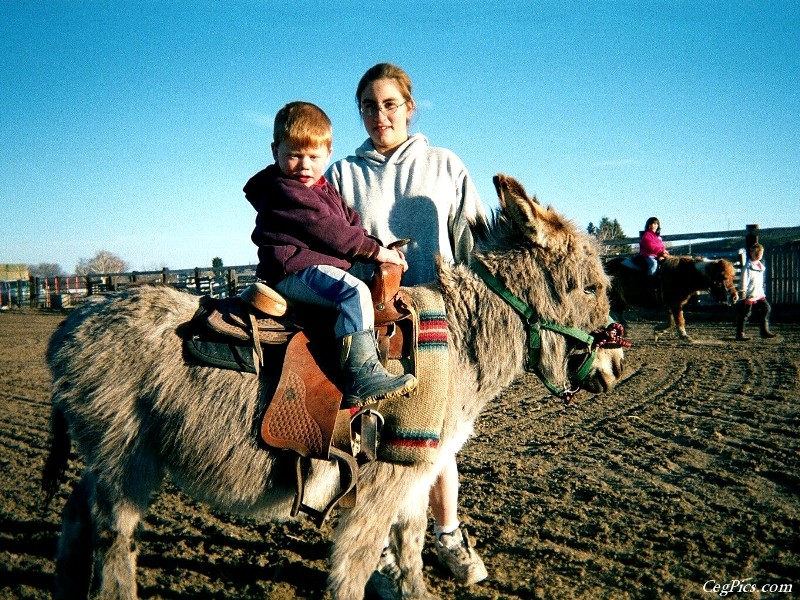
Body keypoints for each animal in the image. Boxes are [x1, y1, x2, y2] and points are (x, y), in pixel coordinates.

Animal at [608, 254, 736, 342]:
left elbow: (671, 322)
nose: (734, 297)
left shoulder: (671, 304)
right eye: (722, 278)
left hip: (620, 300)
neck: (683, 273)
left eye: (732, 277)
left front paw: (657, 331)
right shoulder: (675, 303)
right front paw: (684, 336)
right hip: (614, 298)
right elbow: (679, 320)